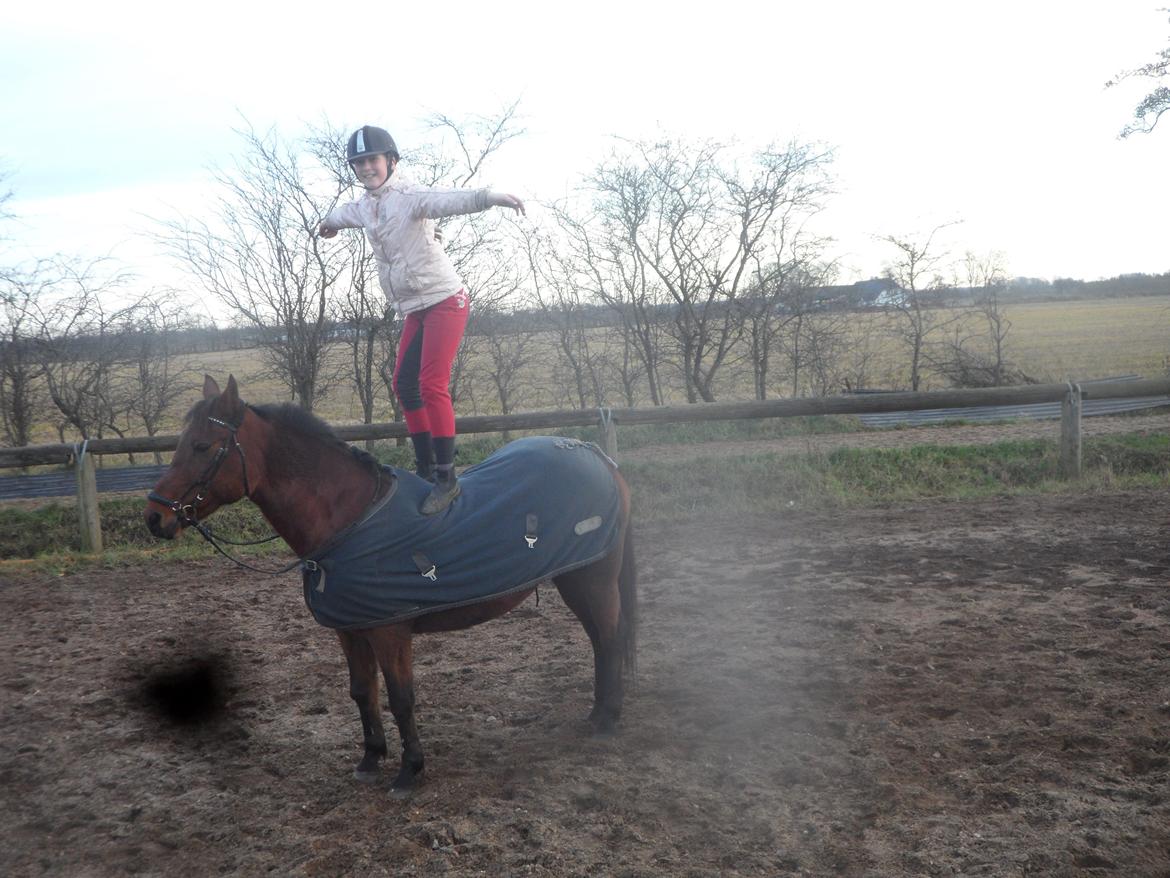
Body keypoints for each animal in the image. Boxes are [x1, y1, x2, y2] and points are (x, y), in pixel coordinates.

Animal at [144, 375, 636, 796]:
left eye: (202, 446)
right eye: (179, 444)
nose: (155, 517)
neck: (349, 519)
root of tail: (596, 454)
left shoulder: (389, 630)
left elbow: (401, 698)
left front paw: (409, 771)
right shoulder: (350, 630)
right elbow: (363, 692)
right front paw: (370, 759)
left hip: (593, 577)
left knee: (610, 638)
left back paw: (608, 720)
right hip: (575, 578)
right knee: (600, 640)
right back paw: (598, 711)